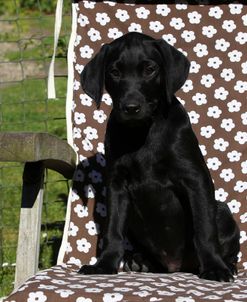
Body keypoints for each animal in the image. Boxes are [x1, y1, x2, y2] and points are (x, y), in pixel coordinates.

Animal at [79, 32, 239, 280]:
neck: (142, 131)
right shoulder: (116, 185)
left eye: (150, 69)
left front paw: (214, 267)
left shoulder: (195, 179)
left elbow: (204, 229)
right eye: (114, 72)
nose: (131, 107)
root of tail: (177, 266)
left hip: (222, 210)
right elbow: (113, 230)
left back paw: (226, 265)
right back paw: (141, 262)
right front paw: (104, 264)